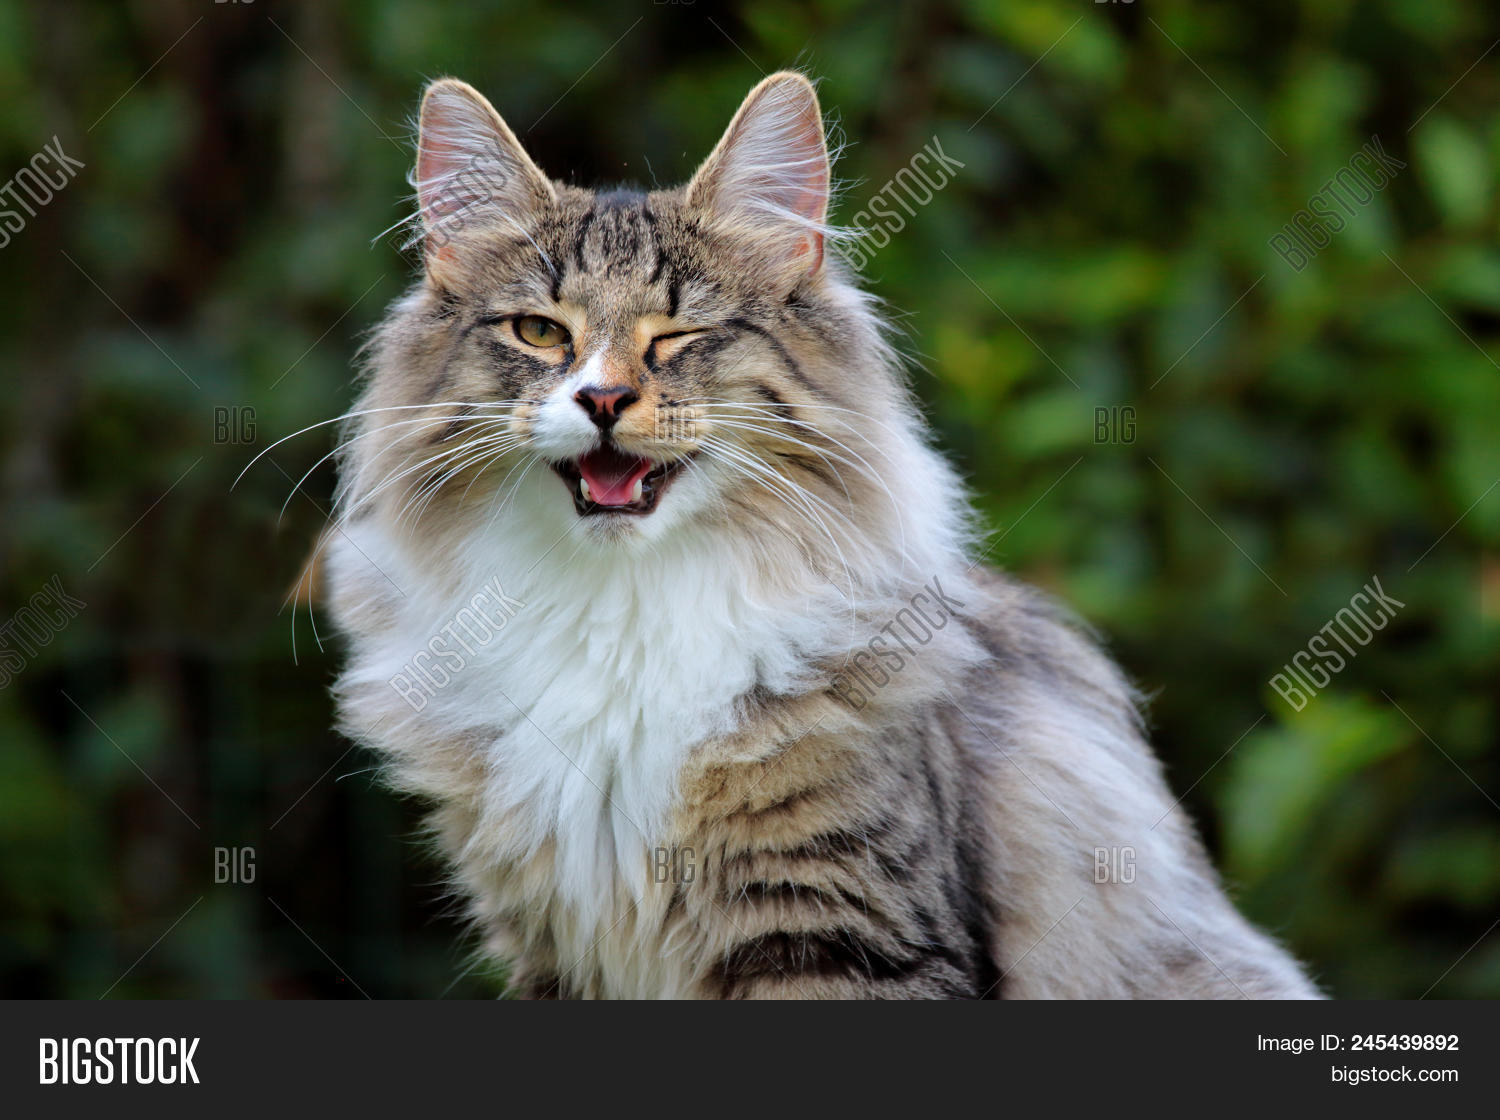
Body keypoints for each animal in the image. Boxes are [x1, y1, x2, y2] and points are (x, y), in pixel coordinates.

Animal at [324, 72, 1321, 998]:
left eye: (677, 335)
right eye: (539, 332)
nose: (601, 399)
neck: (621, 609)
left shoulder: (843, 927)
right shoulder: (551, 946)